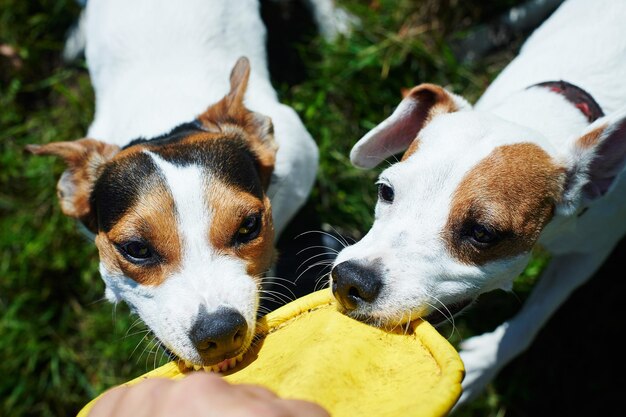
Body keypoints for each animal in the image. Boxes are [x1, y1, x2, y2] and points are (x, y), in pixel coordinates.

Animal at [326, 0, 624, 406]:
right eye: (386, 191)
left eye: (482, 233)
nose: (350, 280)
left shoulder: (590, 249)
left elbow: (535, 316)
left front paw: (483, 365)